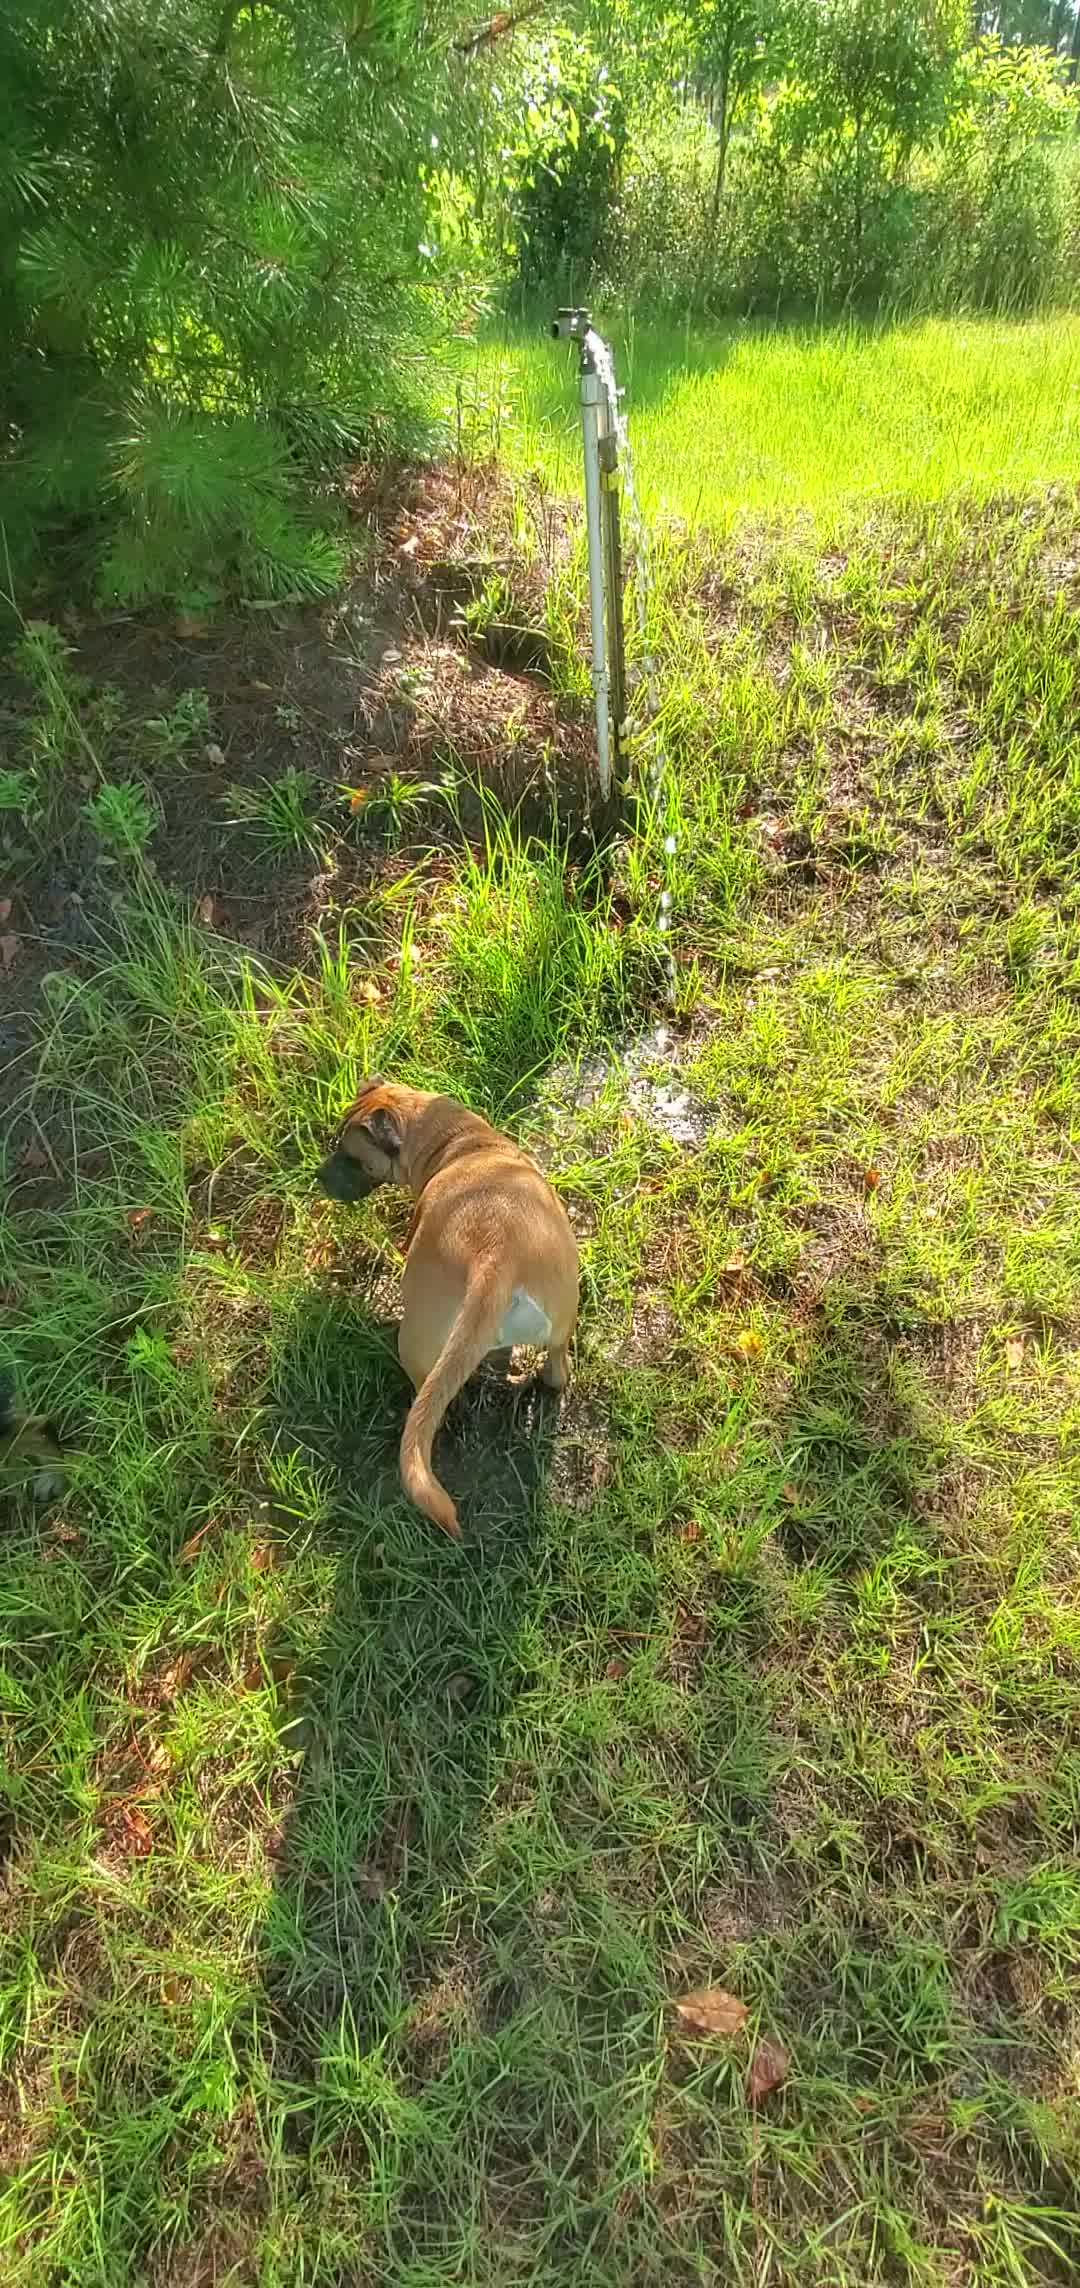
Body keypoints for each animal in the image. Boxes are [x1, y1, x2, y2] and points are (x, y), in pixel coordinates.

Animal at [313, 1079, 578, 1546]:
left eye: (352, 1156)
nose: (318, 1177)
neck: (460, 1143)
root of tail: (496, 1258)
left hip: (416, 1340)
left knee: (432, 1397)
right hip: (561, 1309)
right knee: (556, 1366)